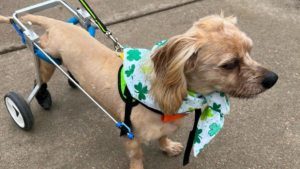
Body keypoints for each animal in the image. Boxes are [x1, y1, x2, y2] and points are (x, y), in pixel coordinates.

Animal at [0, 13, 278, 169]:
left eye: (250, 50)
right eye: (230, 65)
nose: (273, 79)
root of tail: (59, 24)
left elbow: (162, 138)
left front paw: (167, 146)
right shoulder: (130, 137)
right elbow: (137, 157)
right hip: (47, 59)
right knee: (38, 82)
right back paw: (34, 99)